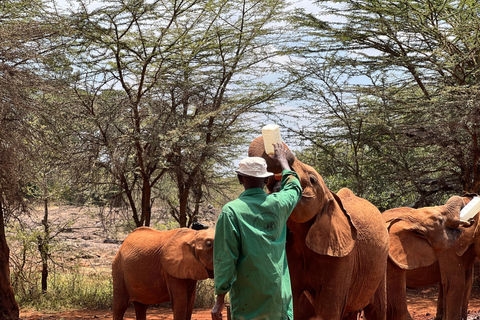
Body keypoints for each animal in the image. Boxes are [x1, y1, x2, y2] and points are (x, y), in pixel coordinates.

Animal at [249, 137, 392, 320]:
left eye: (312, 180)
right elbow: (293, 305)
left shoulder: (344, 256)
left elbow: (328, 311)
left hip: (382, 263)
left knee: (377, 309)